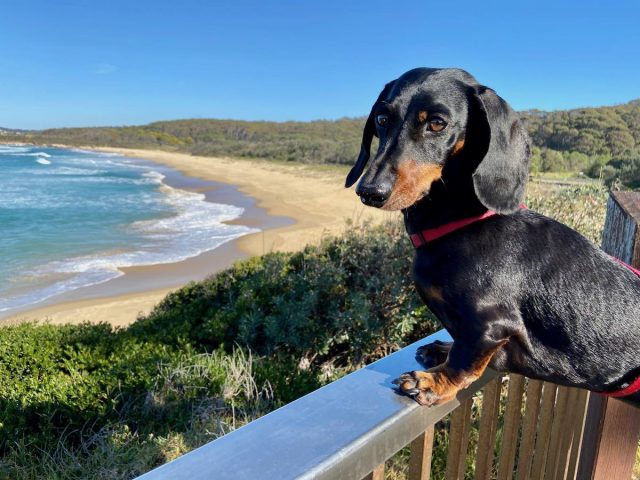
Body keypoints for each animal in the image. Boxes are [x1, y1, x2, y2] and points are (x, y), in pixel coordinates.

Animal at [350, 66, 640, 404]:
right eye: (382, 119)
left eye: (437, 123)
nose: (370, 191)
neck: (464, 223)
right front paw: (442, 350)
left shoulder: (490, 325)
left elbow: (464, 360)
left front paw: (434, 382)